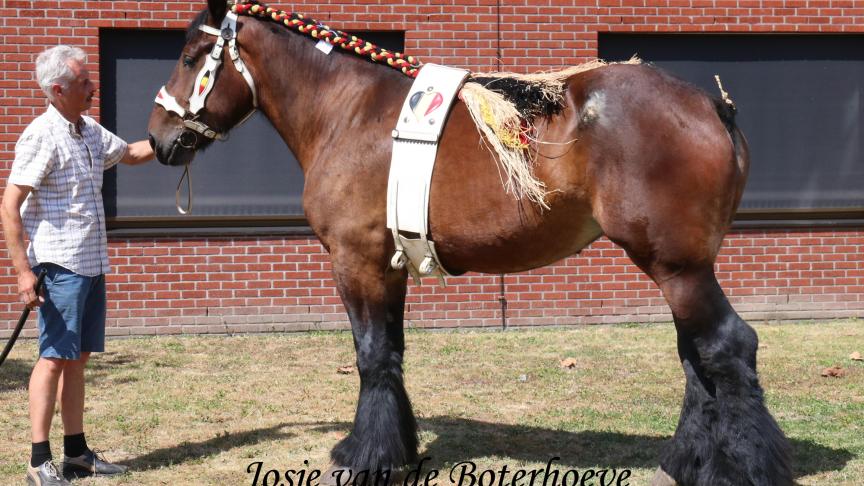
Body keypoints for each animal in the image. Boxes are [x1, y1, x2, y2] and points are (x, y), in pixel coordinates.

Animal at [147, 1, 788, 484]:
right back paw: (686, 462)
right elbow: (391, 353)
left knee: (727, 346)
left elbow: (370, 355)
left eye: (189, 56)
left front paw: (363, 458)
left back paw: (741, 467)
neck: (350, 113)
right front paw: (396, 450)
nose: (157, 138)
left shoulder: (356, 262)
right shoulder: (390, 265)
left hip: (678, 267)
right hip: (683, 268)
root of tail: (710, 104)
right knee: (696, 356)